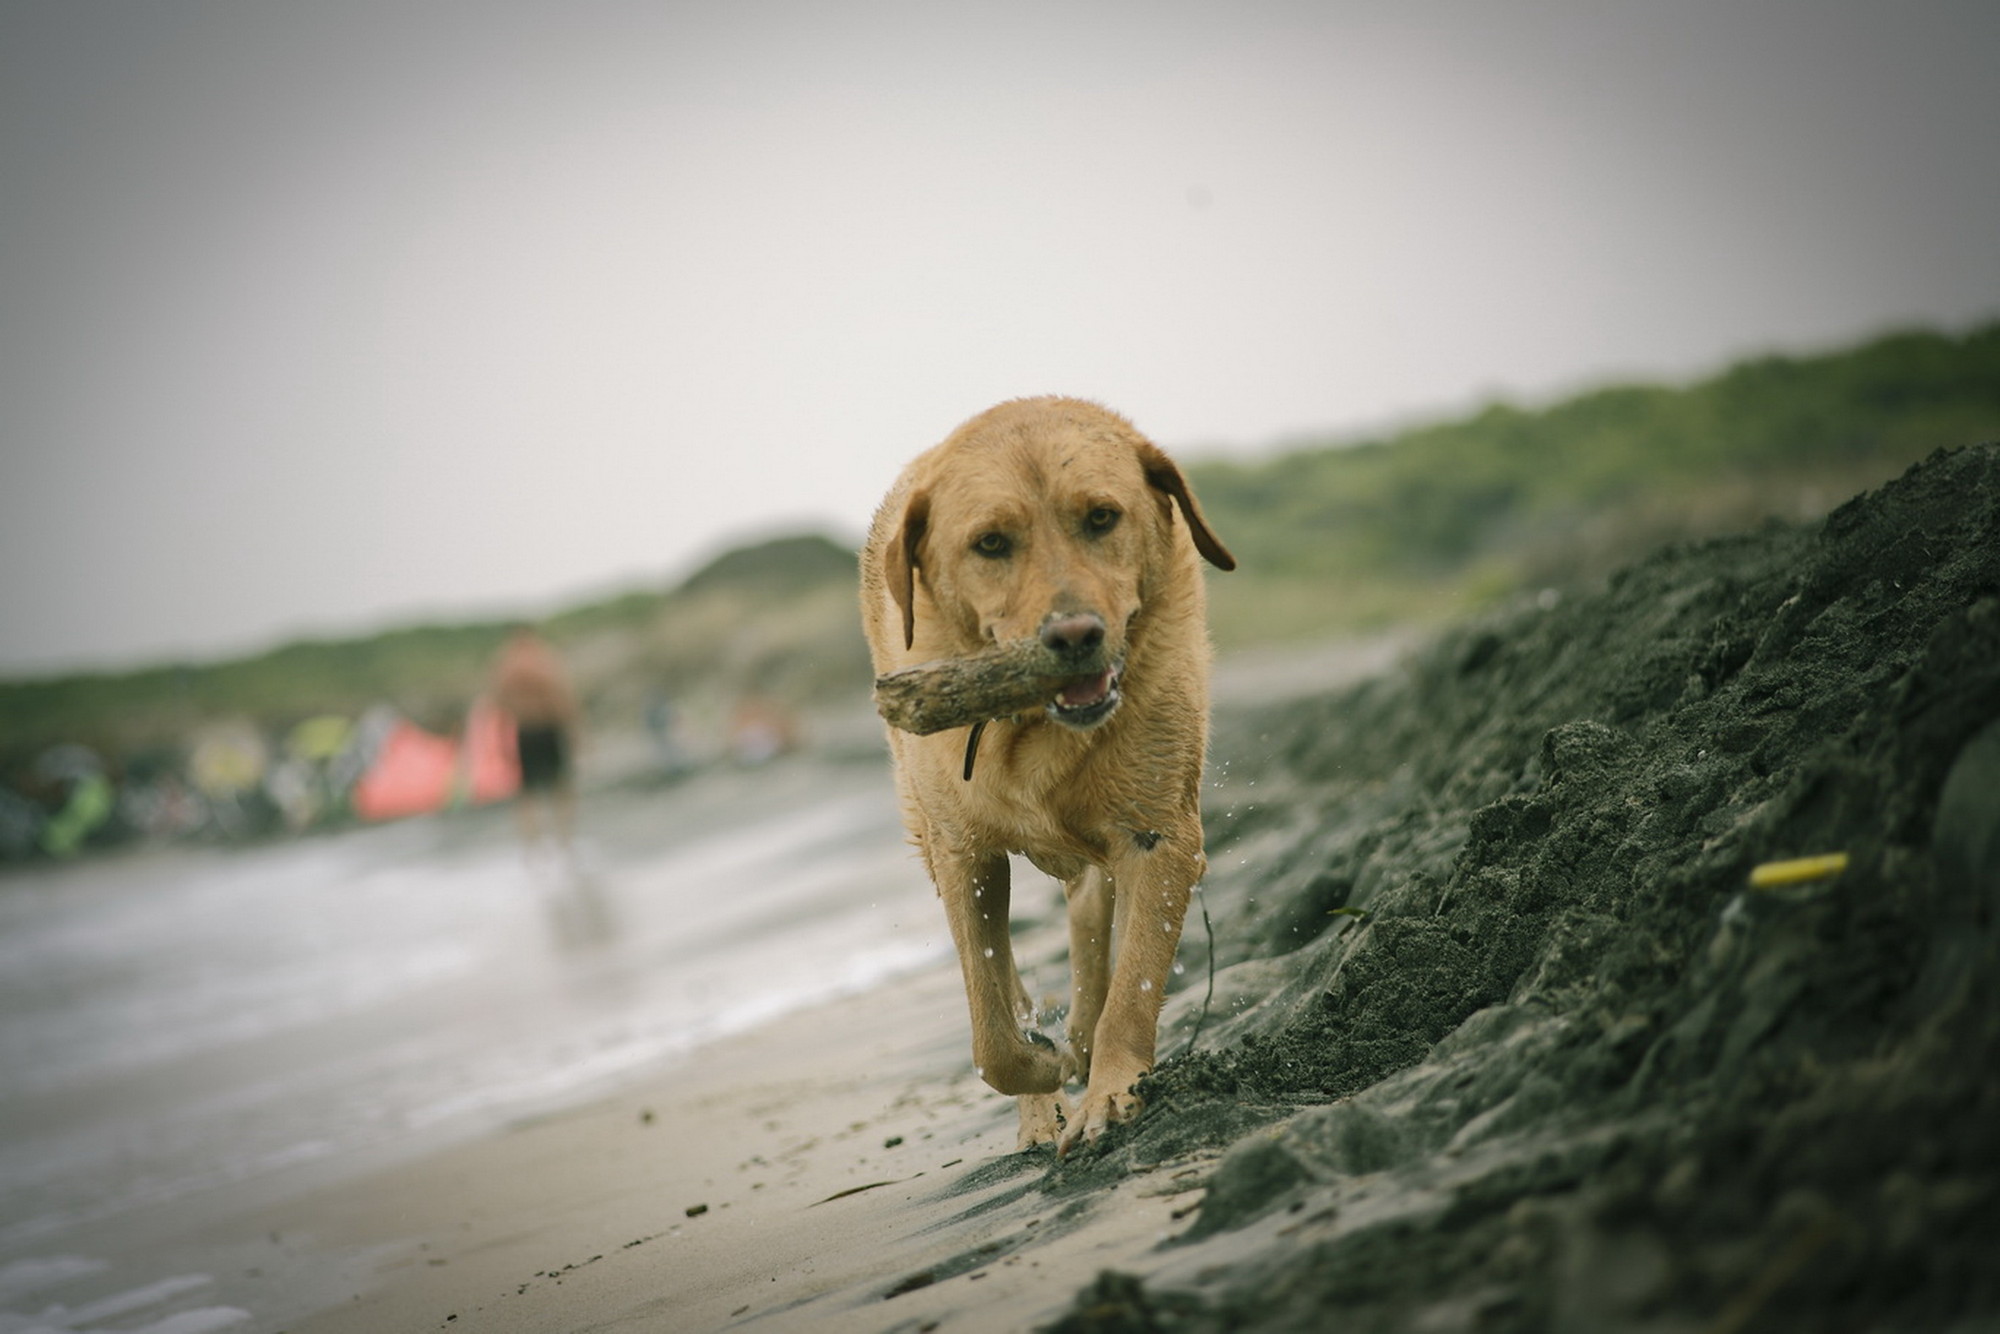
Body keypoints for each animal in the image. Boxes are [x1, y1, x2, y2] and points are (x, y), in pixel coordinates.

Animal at [860, 400, 1232, 1160]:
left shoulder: (1161, 837)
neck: (1036, 723)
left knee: (1091, 930)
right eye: (991, 543)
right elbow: (991, 1035)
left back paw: (1083, 1045)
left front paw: (1110, 1090)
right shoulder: (963, 856)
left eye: (1102, 517)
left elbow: (1133, 987)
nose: (1075, 635)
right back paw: (1044, 1097)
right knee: (1012, 980)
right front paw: (1044, 1068)